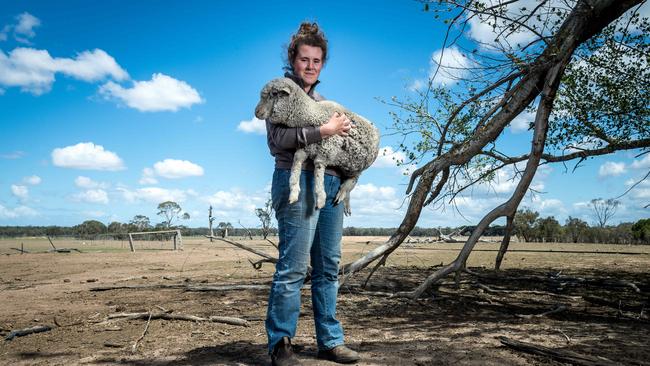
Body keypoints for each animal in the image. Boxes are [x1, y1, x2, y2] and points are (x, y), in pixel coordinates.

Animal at [254, 77, 380, 214]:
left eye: (273, 94)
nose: (256, 112)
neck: (312, 115)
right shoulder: (305, 148)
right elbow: (295, 164)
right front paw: (294, 192)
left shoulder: (325, 153)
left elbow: (319, 174)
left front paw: (320, 199)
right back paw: (346, 202)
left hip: (358, 166)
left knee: (353, 180)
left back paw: (342, 193)